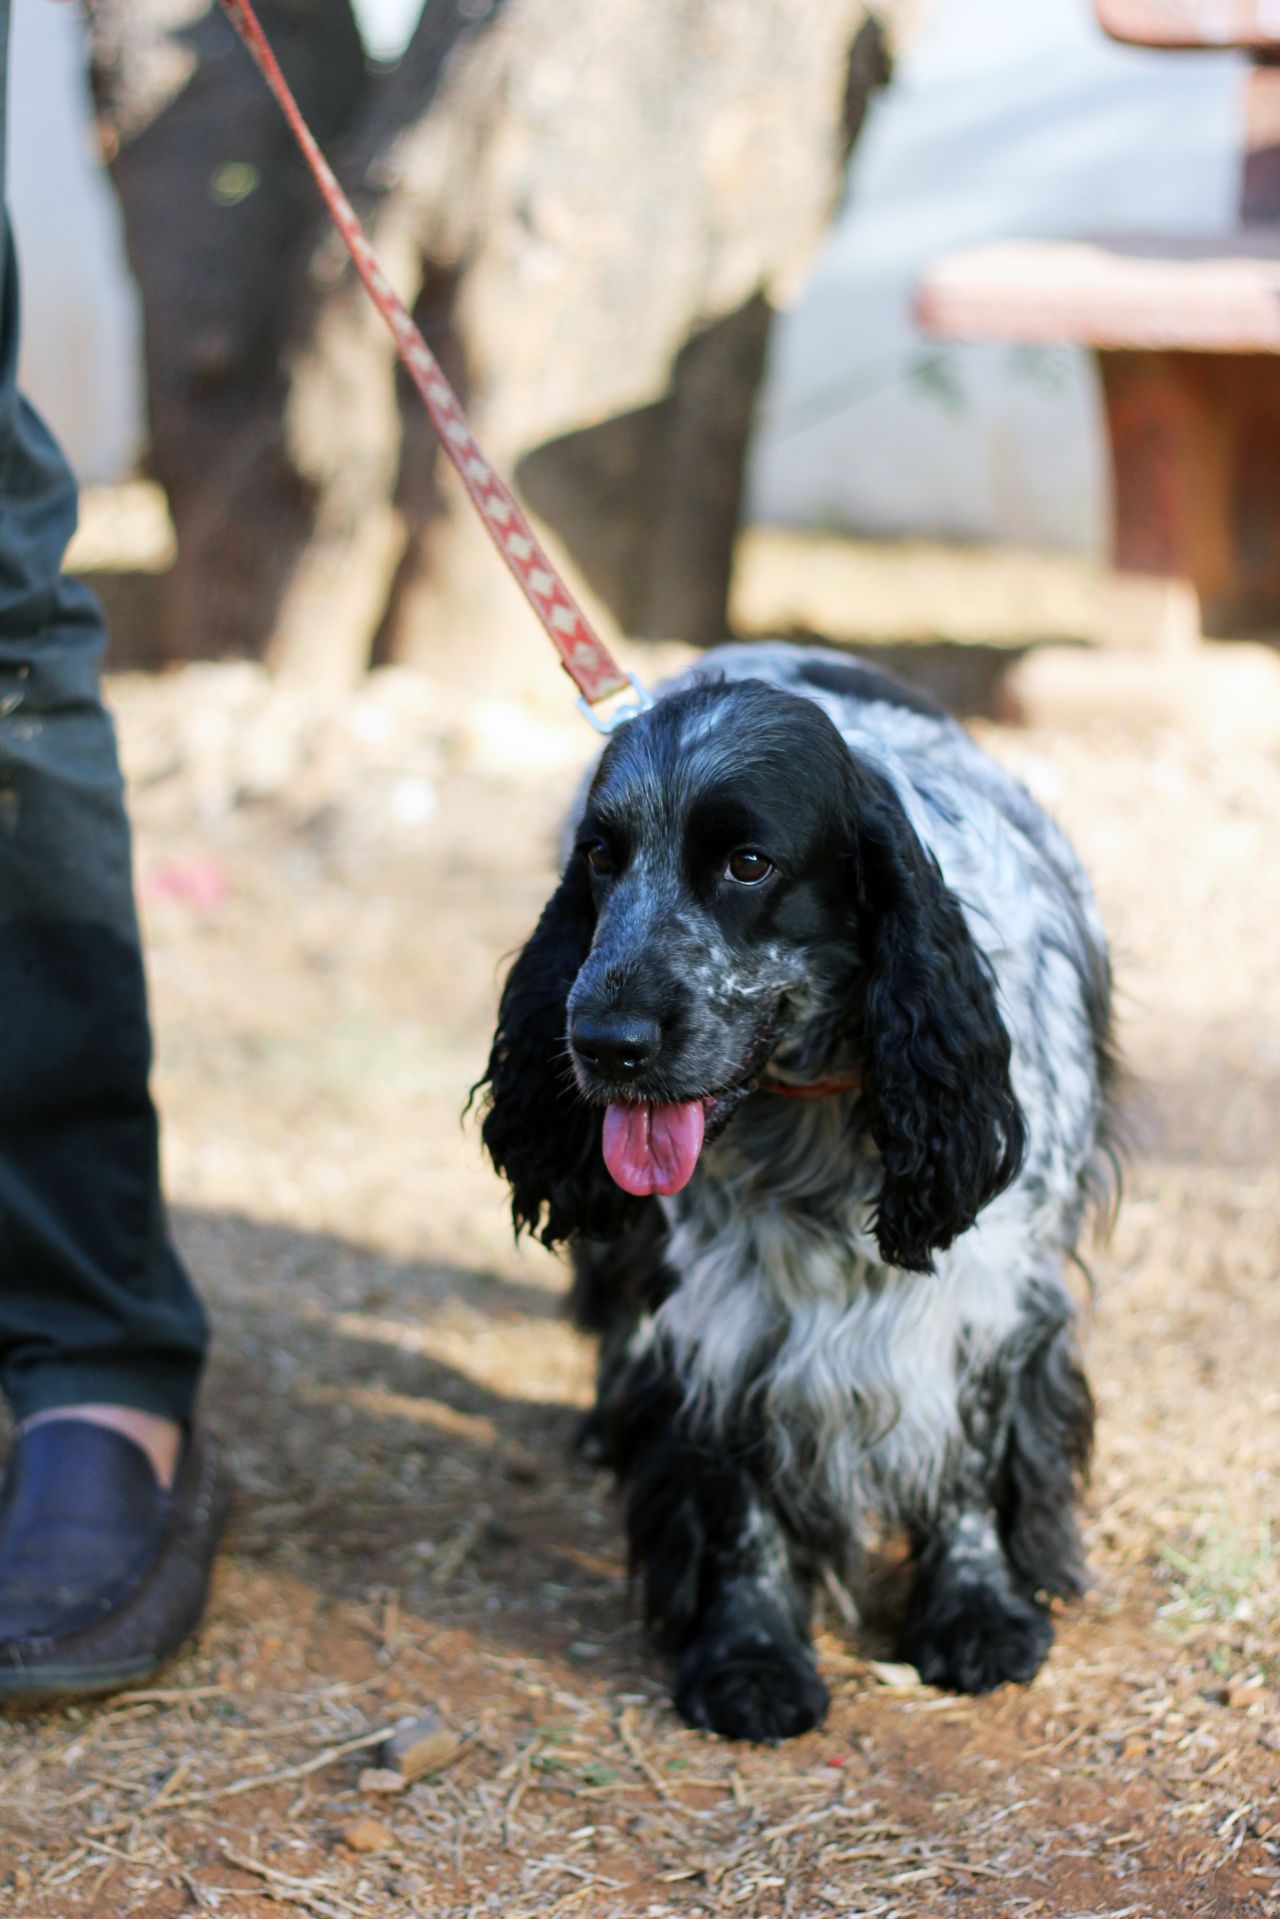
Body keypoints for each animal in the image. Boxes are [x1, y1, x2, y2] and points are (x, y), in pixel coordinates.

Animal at [475, 644, 1113, 1742]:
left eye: (747, 863)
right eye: (602, 857)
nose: (600, 1043)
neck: (820, 1106)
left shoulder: (993, 1290)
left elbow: (971, 1451)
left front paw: (977, 1612)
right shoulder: (730, 1310)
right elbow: (737, 1492)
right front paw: (750, 1656)